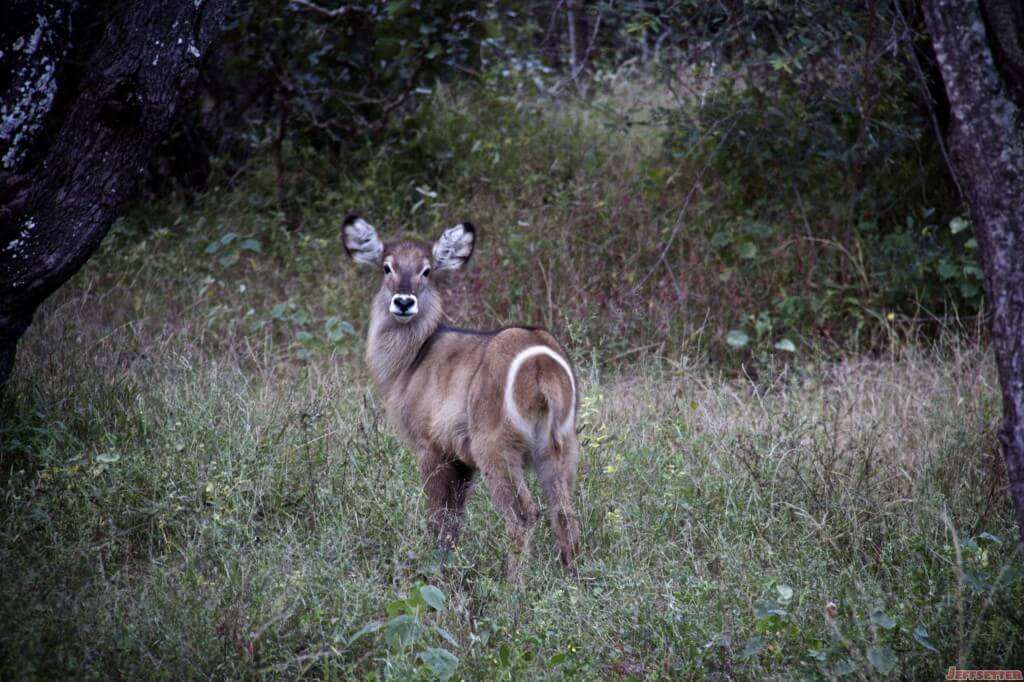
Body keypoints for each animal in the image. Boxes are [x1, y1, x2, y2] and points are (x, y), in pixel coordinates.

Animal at [344, 215, 581, 569]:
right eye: (387, 267)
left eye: (427, 270)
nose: (404, 301)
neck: (411, 360)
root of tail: (542, 363)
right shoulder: (461, 459)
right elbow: (455, 520)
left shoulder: (429, 446)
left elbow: (439, 519)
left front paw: (438, 568)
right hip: (560, 448)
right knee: (564, 513)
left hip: (495, 449)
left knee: (523, 515)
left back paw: (513, 582)